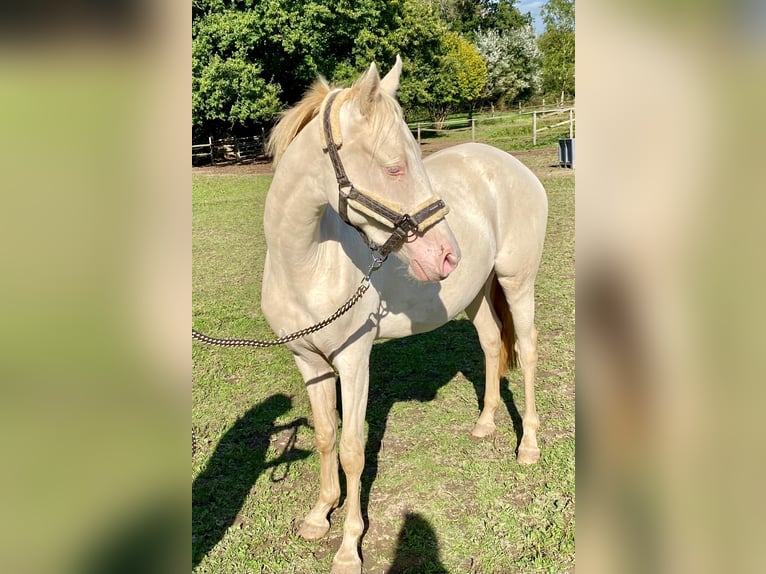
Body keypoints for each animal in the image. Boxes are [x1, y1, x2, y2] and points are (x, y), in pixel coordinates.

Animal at [260, 55, 548, 574]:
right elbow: (326, 436)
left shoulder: (354, 363)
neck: (307, 264)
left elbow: (353, 450)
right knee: (491, 342)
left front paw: (348, 547)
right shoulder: (310, 363)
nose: (447, 255)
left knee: (529, 349)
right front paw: (318, 516)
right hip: (476, 294)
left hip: (518, 282)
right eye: (394, 166)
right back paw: (485, 424)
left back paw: (529, 446)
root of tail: (512, 166)